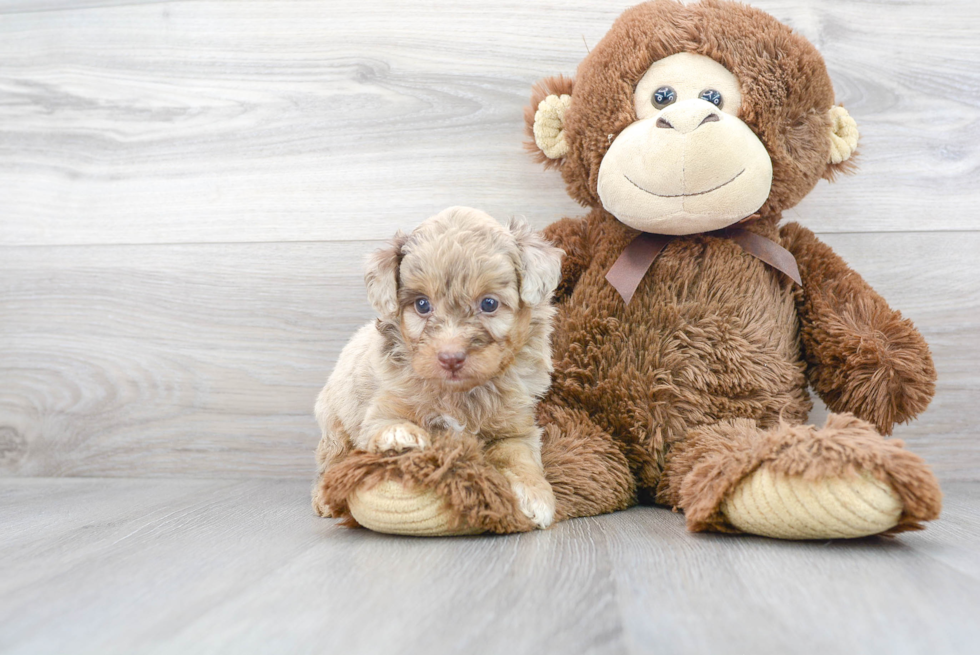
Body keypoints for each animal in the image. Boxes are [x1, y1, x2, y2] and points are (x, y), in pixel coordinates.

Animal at [310, 208, 564, 532]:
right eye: (422, 305)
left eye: (489, 304)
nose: (450, 357)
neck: (459, 393)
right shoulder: (382, 407)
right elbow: (387, 423)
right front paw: (400, 436)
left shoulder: (516, 428)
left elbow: (517, 457)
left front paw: (535, 494)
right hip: (334, 422)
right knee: (332, 460)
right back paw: (324, 498)